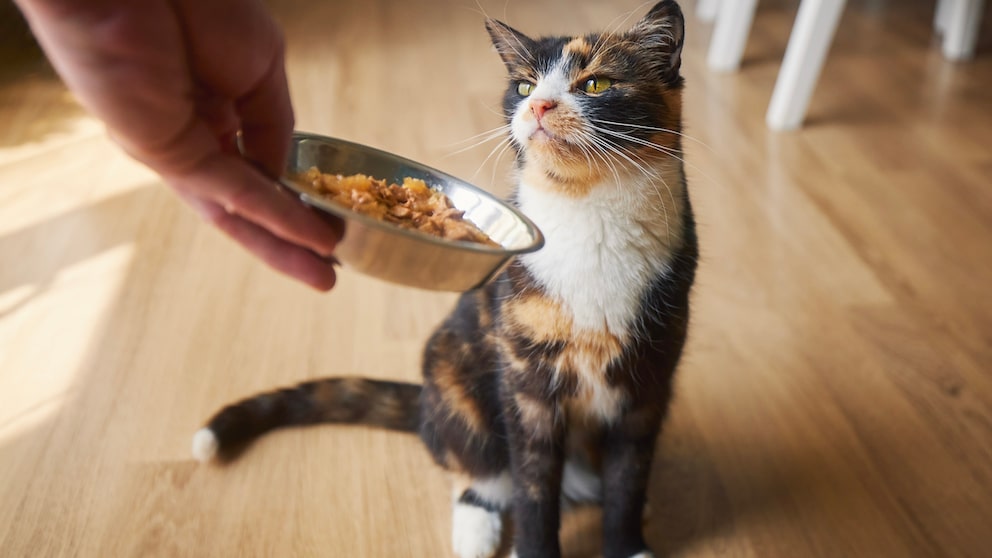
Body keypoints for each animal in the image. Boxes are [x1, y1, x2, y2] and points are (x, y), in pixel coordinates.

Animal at [192, 2, 696, 556]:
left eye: (596, 83)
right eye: (524, 86)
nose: (539, 106)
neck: (591, 214)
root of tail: (425, 406)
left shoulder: (649, 383)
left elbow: (630, 474)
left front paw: (629, 543)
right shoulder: (526, 386)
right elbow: (532, 485)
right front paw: (534, 545)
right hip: (453, 372)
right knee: (477, 469)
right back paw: (476, 530)